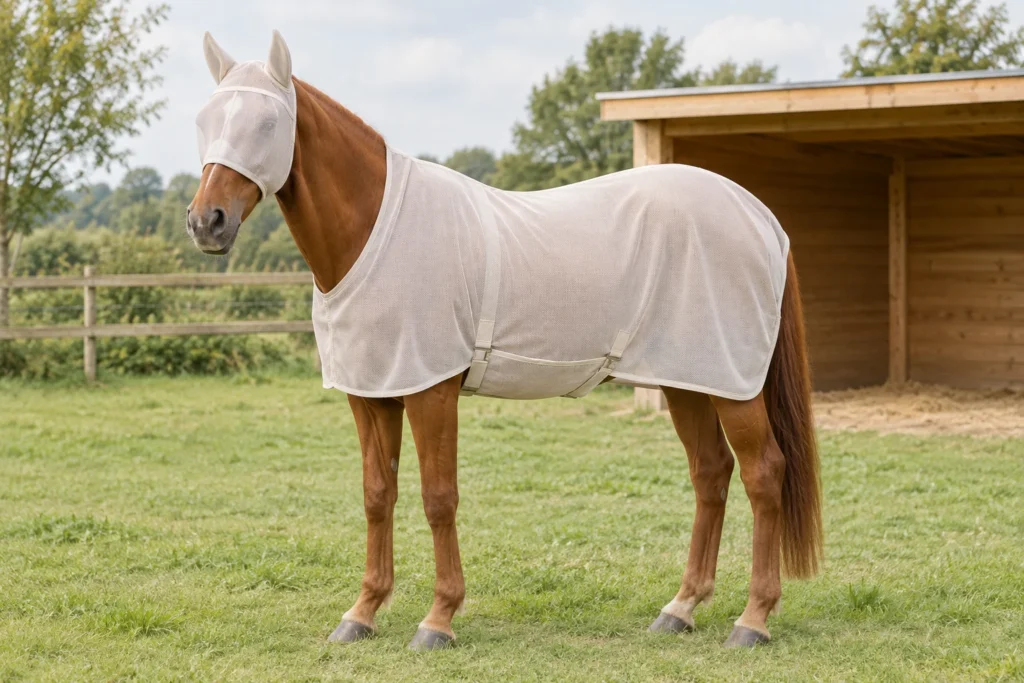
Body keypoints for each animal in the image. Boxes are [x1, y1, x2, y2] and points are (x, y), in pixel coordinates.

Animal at [187, 31, 823, 651]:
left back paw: (753, 619)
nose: (205, 222)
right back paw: (681, 608)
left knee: (764, 473)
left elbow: (438, 498)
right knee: (711, 474)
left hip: (733, 385)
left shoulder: (431, 390)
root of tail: (760, 217)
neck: (375, 233)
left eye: (269, 124)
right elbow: (377, 494)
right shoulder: (371, 393)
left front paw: (438, 619)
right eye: (204, 120)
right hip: (685, 378)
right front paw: (362, 613)